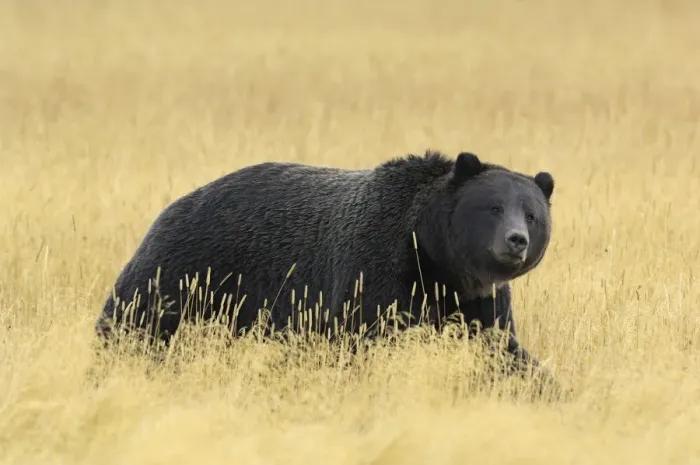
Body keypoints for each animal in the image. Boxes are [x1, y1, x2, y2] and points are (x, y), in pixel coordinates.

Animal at [96, 150, 555, 376]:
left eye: (532, 213)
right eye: (493, 207)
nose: (516, 240)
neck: (434, 259)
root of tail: (177, 202)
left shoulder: (476, 301)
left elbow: (500, 348)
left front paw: (541, 382)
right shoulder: (375, 270)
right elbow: (358, 338)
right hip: (187, 267)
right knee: (135, 319)